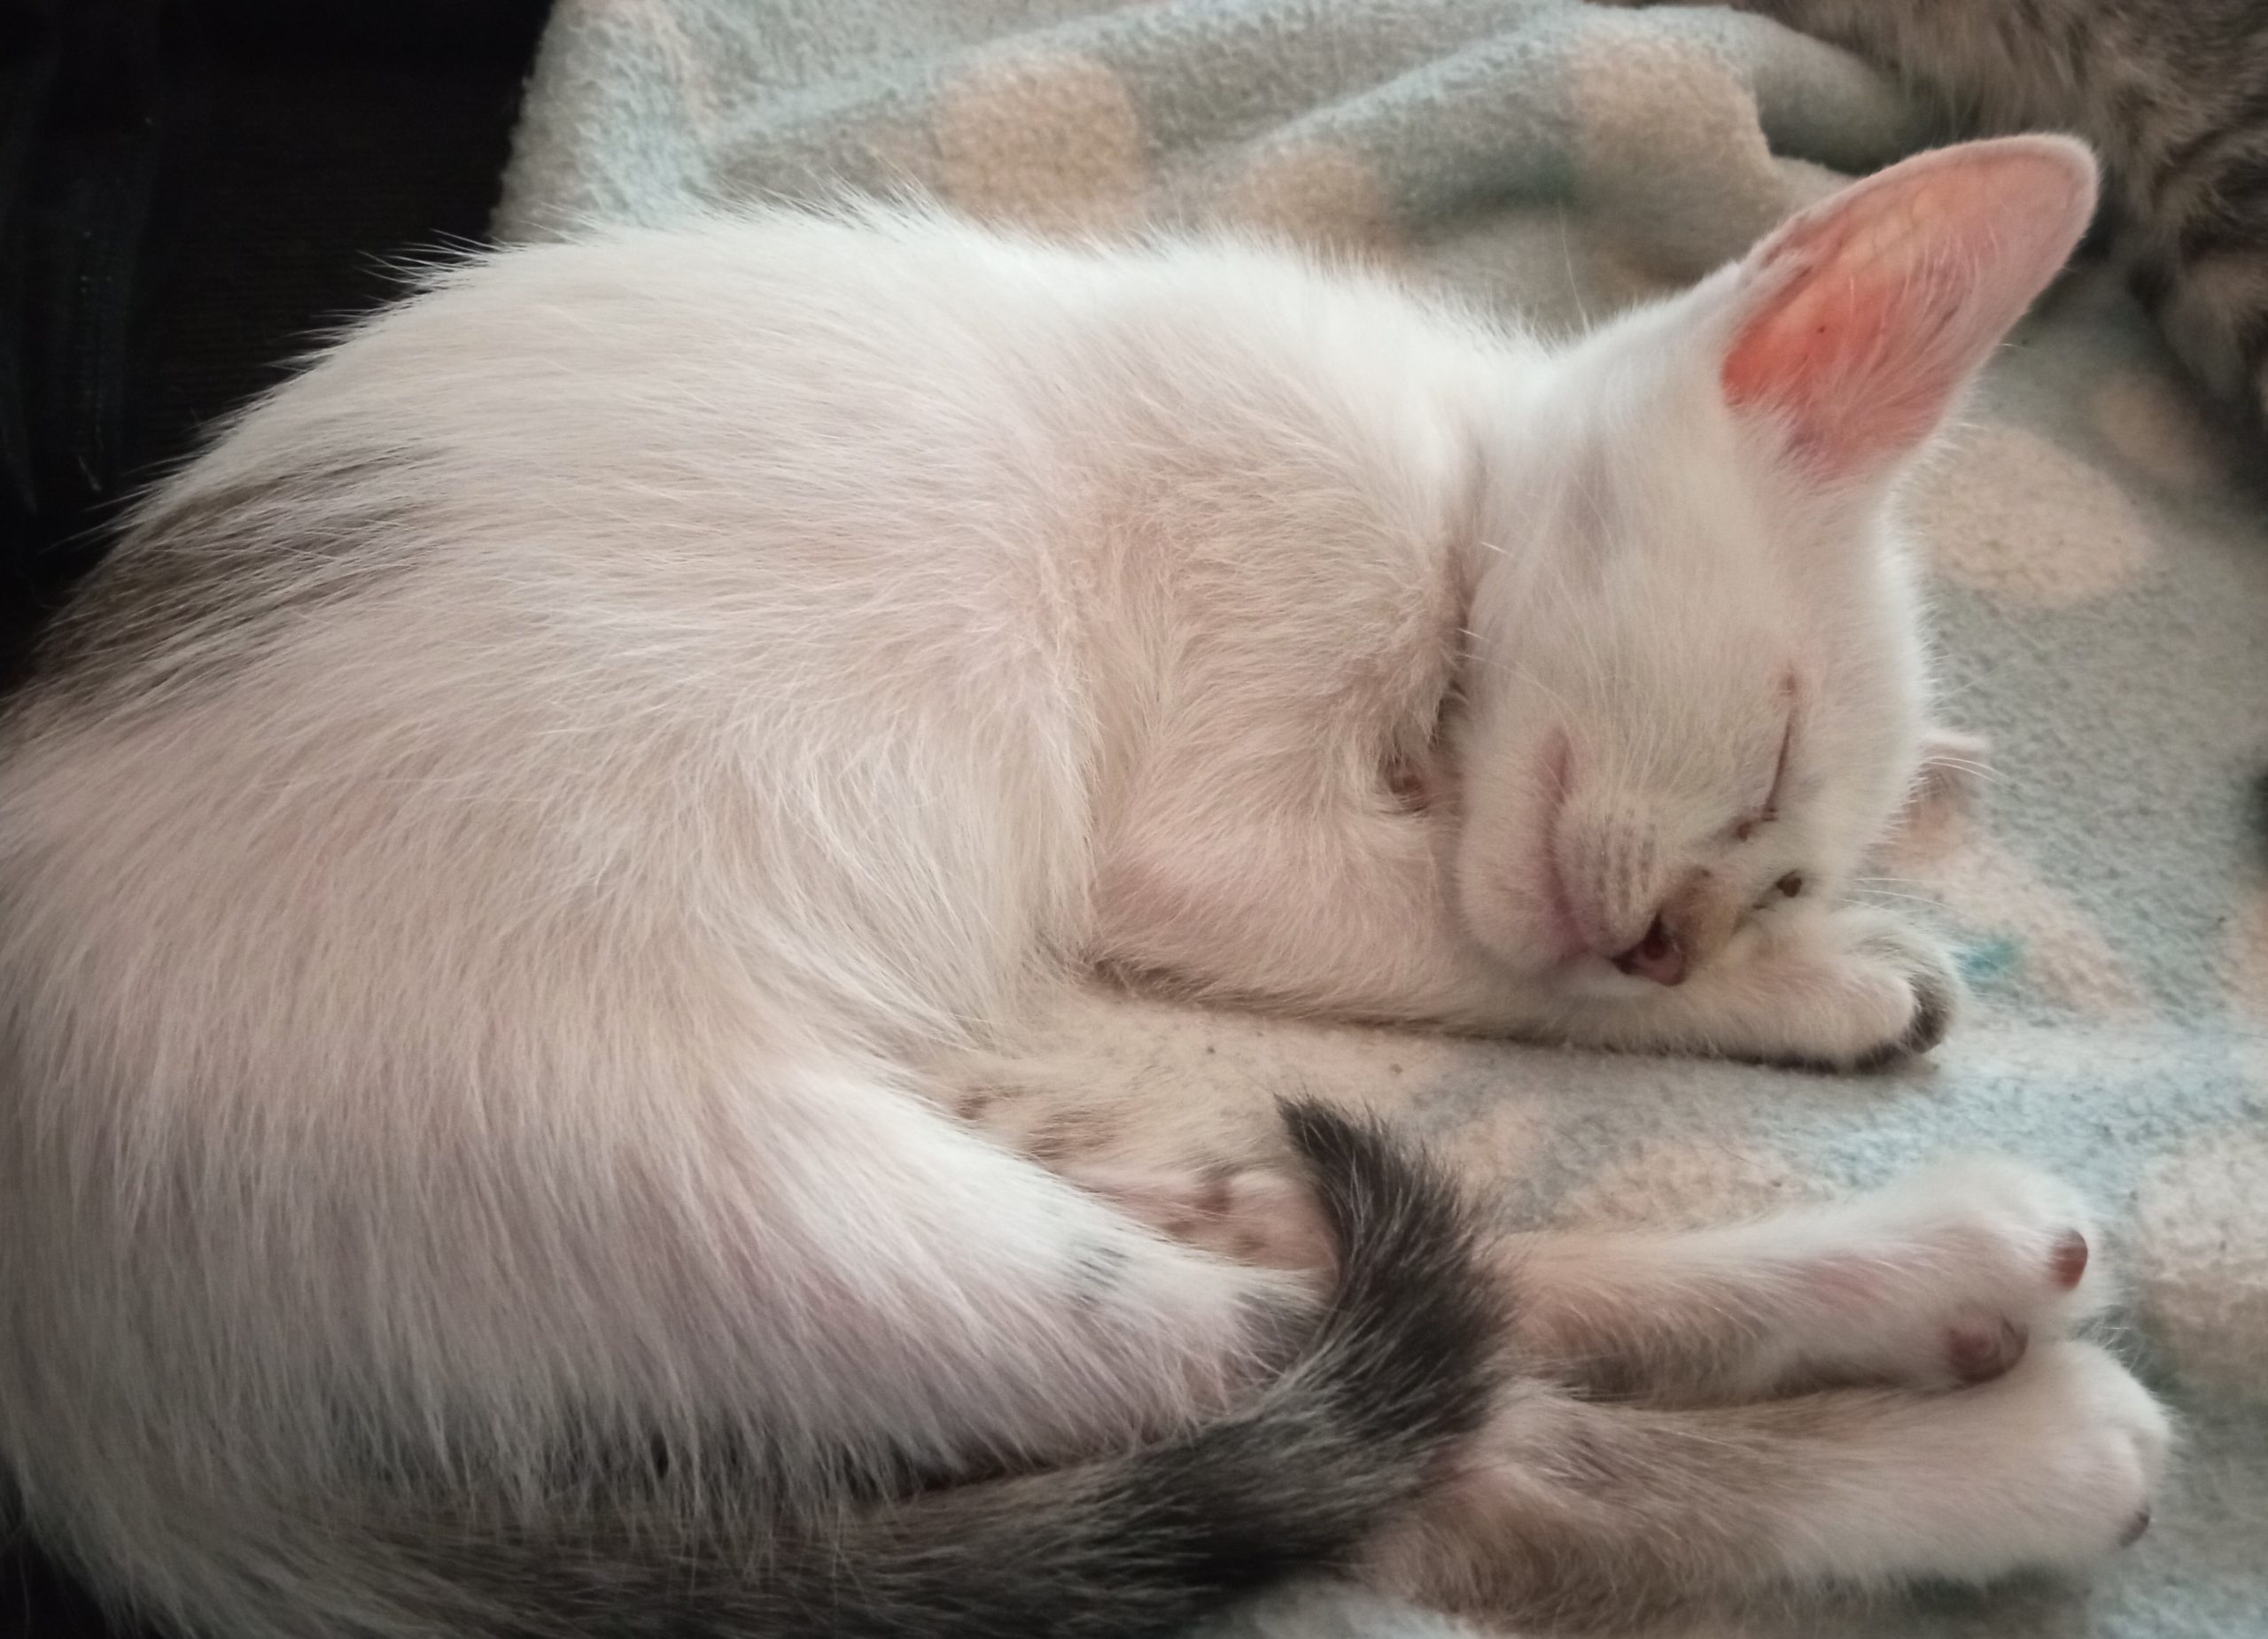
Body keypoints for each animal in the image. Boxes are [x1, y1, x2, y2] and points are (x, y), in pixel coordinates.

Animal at [0, 135, 2166, 1639]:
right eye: (1774, 760)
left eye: (1780, 857)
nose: (1668, 939)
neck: (1441, 490)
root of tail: (100, 1418)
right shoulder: (1238, 759)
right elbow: (1462, 938)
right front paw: (1814, 986)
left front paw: (1824, 976)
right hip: (686, 1183)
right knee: (1427, 1439)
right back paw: (1996, 1449)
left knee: (1357, 1278)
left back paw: (1933, 1269)